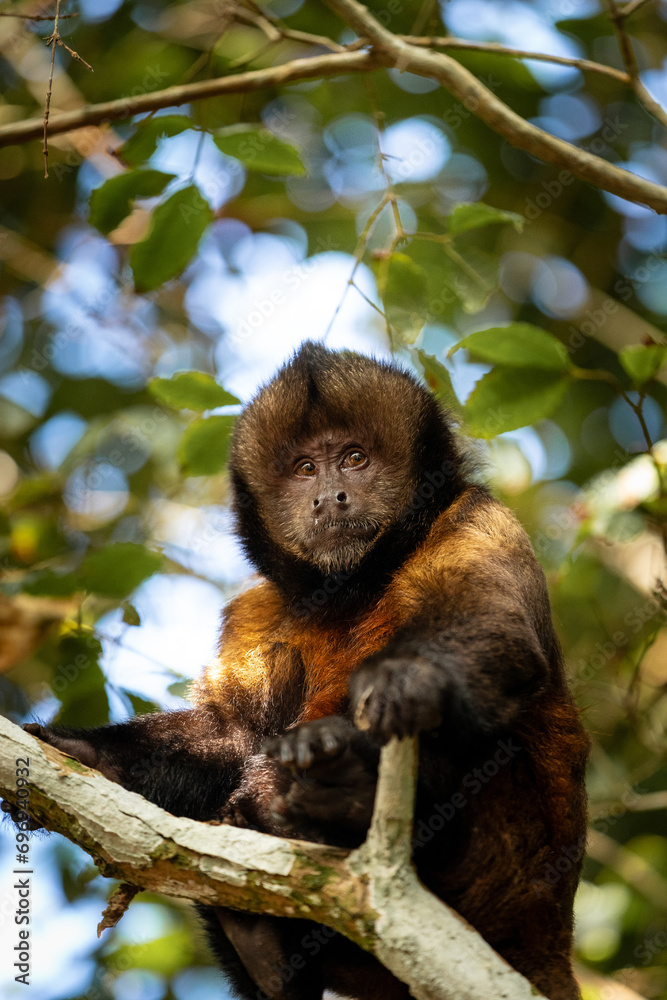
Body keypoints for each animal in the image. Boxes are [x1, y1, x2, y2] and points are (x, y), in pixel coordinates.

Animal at [3, 342, 589, 1000]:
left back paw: (345, 791)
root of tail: (547, 943)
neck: (353, 585)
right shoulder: (257, 607)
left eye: (354, 459)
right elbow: (234, 733)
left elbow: (494, 632)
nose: (329, 497)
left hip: (506, 874)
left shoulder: (476, 518)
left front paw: (405, 683)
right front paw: (87, 753)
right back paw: (264, 950)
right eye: (307, 468)